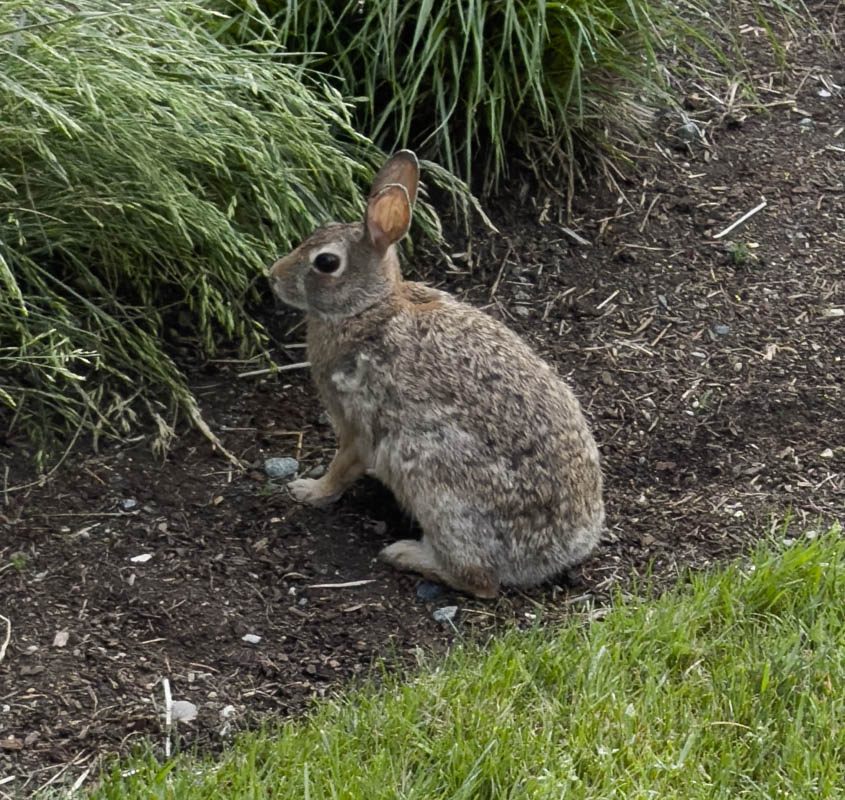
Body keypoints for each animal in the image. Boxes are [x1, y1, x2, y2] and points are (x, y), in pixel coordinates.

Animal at [268, 150, 604, 599]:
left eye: (326, 262)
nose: (273, 276)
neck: (370, 309)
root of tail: (559, 554)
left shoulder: (359, 422)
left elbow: (344, 465)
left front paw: (309, 491)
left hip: (435, 480)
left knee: (480, 581)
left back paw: (405, 554)